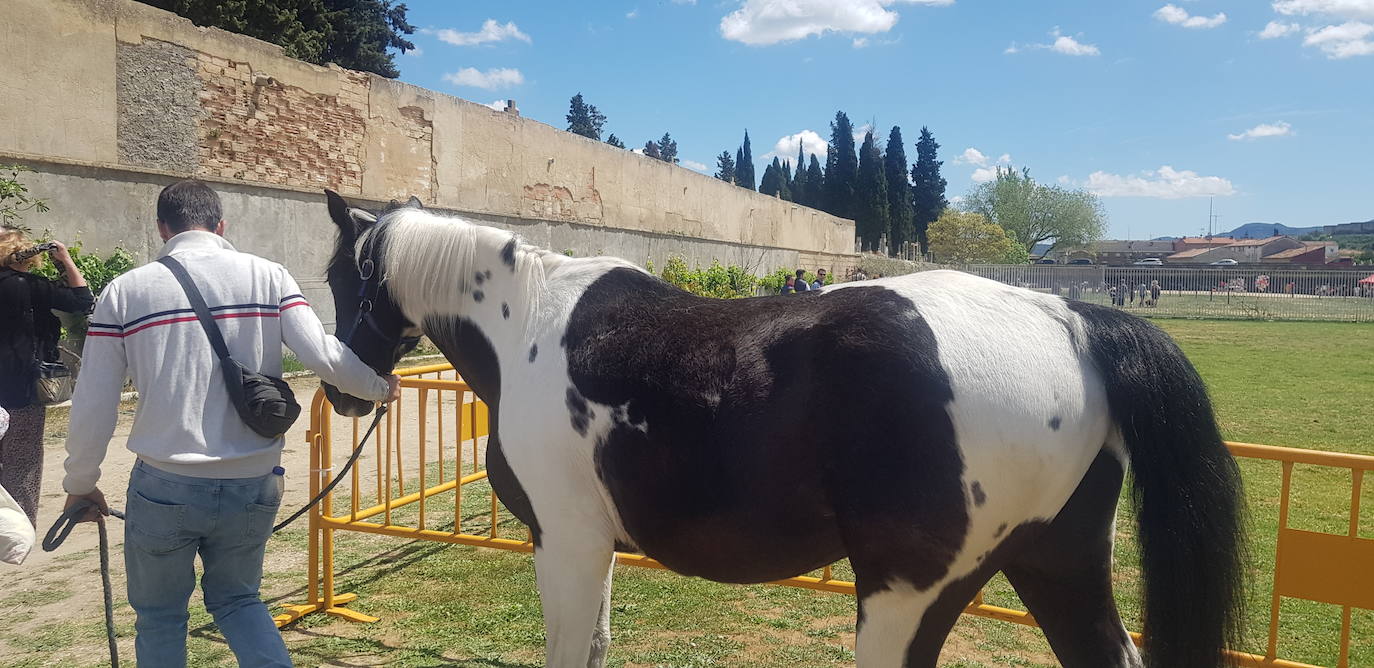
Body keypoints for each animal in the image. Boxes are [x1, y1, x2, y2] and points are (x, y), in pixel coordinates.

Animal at [318, 192, 1247, 668]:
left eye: (336, 276)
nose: (342, 392)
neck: (527, 325)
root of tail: (1071, 321)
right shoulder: (591, 544)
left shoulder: (566, 541)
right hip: (1057, 560)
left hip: (909, 592)